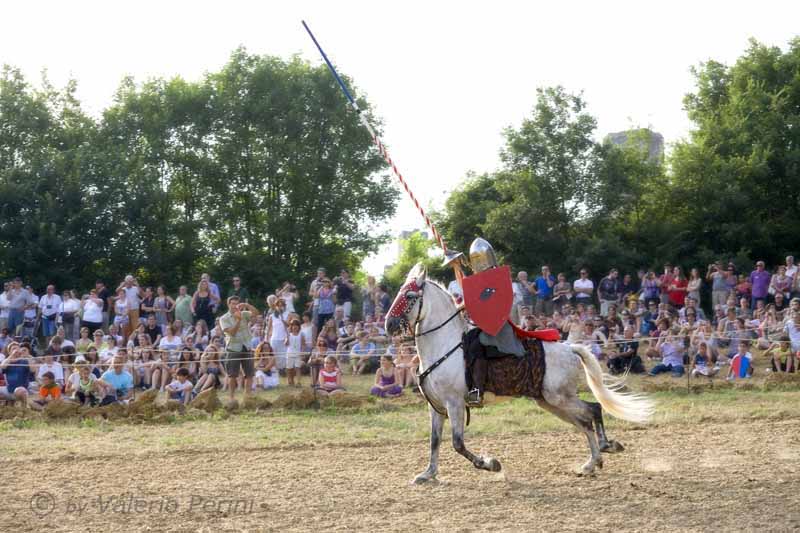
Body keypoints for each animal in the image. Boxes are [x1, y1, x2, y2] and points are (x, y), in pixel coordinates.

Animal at [384, 264, 652, 480]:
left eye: (409, 295)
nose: (388, 324)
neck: (443, 343)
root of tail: (570, 349)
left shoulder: (455, 403)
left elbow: (457, 443)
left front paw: (490, 464)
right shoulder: (437, 407)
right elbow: (434, 441)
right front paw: (428, 474)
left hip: (559, 397)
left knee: (593, 409)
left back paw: (606, 447)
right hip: (550, 401)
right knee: (584, 422)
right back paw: (591, 463)